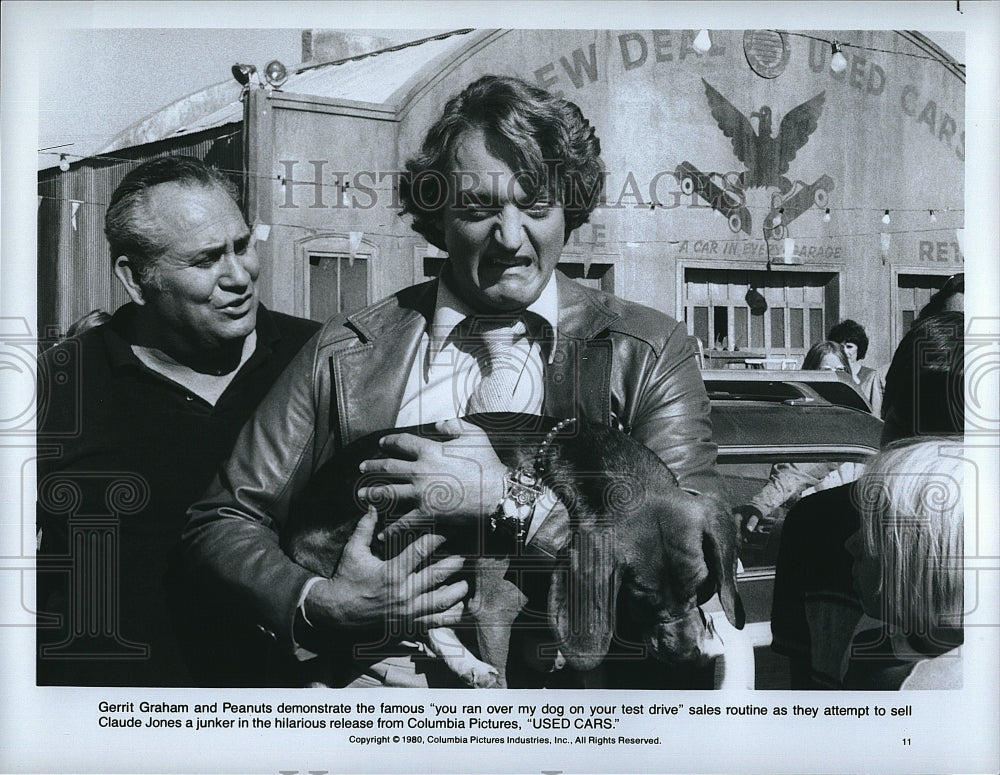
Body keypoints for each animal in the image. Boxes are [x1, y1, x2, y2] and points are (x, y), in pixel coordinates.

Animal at [282, 416, 744, 688]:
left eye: (700, 588)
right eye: (637, 600)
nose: (688, 657)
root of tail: (294, 526)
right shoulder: (494, 609)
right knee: (417, 619)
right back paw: (470, 665)